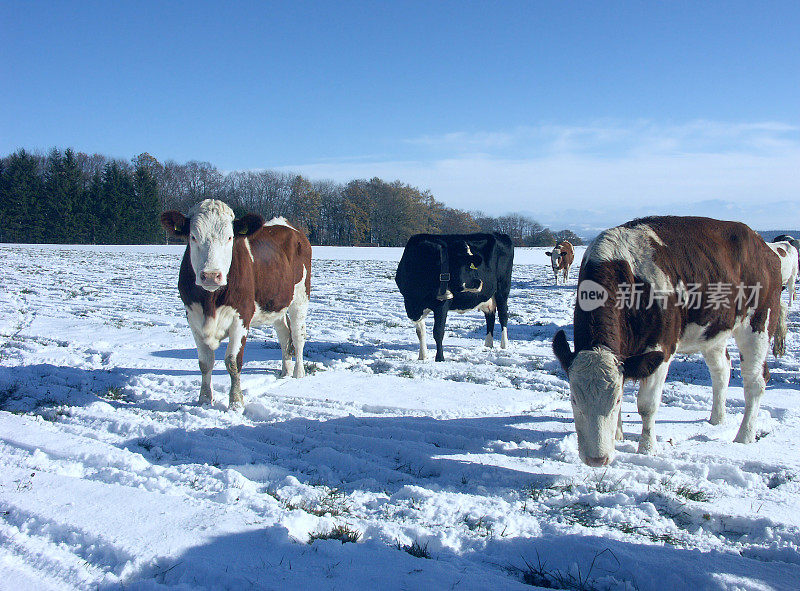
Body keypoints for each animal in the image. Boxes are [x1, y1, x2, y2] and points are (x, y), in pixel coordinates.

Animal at [161, 200, 310, 412]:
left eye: (230, 237)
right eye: (193, 236)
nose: (211, 275)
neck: (210, 301)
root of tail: (286, 224)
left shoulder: (241, 317)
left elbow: (233, 362)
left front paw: (236, 402)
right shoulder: (193, 318)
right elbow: (205, 362)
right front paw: (204, 400)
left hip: (300, 298)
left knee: (298, 336)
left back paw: (298, 372)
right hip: (275, 302)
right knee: (283, 335)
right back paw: (285, 370)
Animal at [396, 234, 516, 364]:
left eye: (471, 264)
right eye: (457, 264)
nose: (479, 282)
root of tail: (500, 234)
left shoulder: (442, 304)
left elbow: (438, 331)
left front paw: (440, 358)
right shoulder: (410, 304)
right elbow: (420, 332)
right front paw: (422, 357)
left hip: (503, 289)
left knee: (503, 315)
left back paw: (504, 345)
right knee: (490, 316)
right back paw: (488, 345)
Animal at [552, 217, 788, 468]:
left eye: (615, 401)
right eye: (574, 399)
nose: (596, 459)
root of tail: (763, 245)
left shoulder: (661, 349)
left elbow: (647, 405)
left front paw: (647, 448)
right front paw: (618, 435)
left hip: (758, 324)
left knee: (755, 381)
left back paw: (744, 437)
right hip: (713, 331)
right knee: (721, 371)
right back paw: (717, 419)